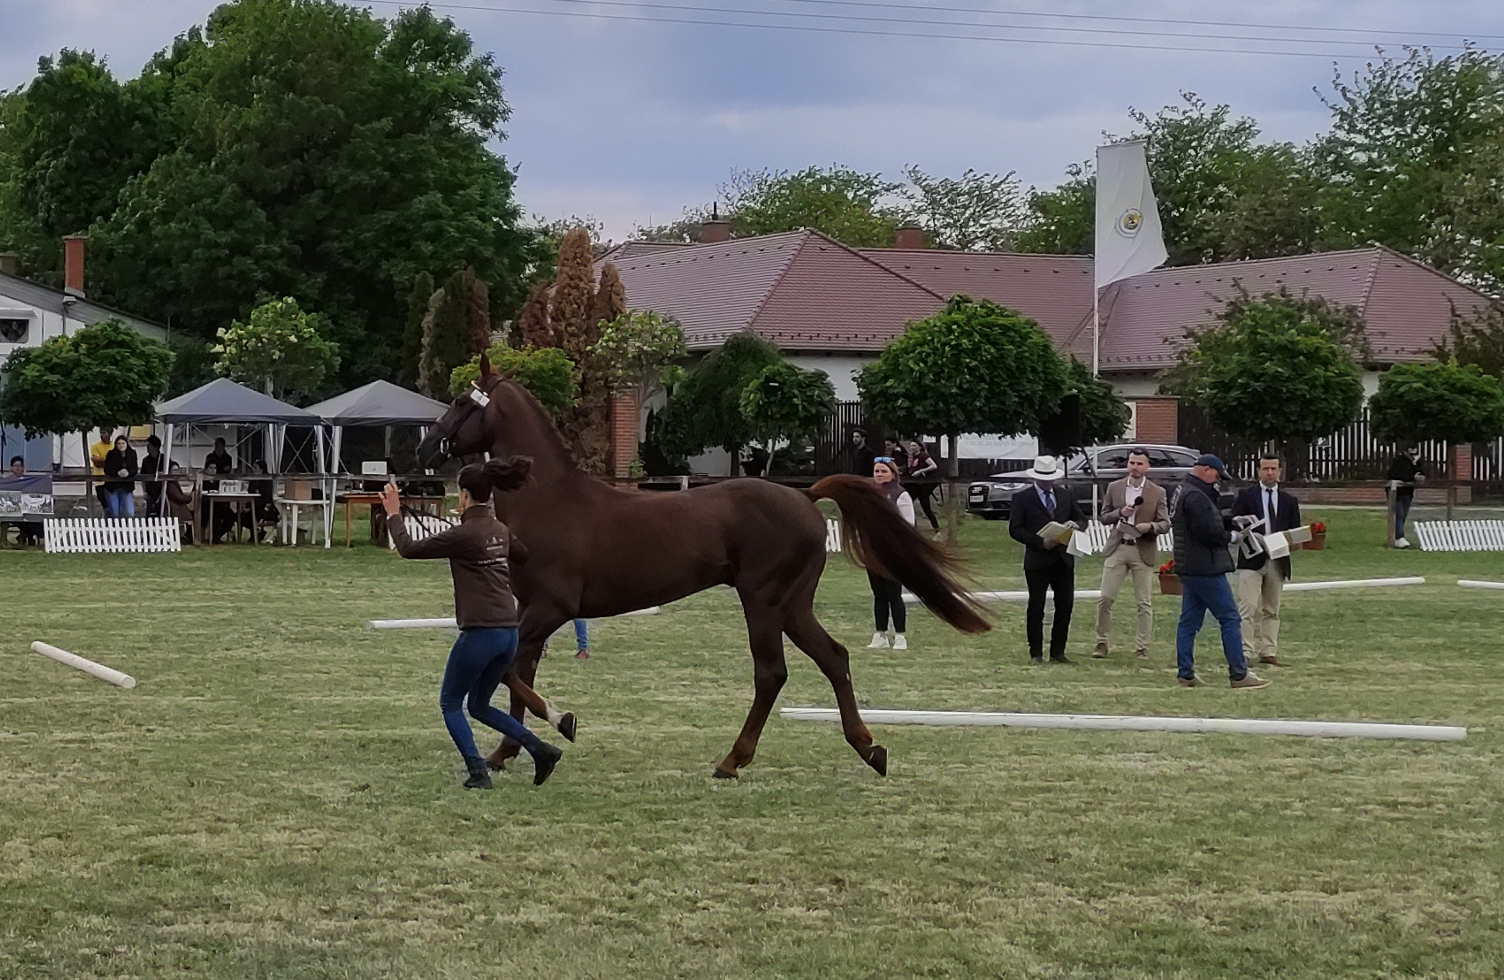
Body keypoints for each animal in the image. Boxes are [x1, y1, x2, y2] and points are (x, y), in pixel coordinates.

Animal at [418, 359, 992, 781]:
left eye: (463, 402)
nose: (426, 445)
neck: (550, 501)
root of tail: (806, 495)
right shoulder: (527, 610)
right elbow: (518, 670)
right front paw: (506, 753)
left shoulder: (550, 609)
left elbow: (510, 671)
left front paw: (561, 722)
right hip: (792, 605)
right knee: (834, 658)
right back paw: (869, 749)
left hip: (762, 601)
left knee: (772, 673)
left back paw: (732, 760)